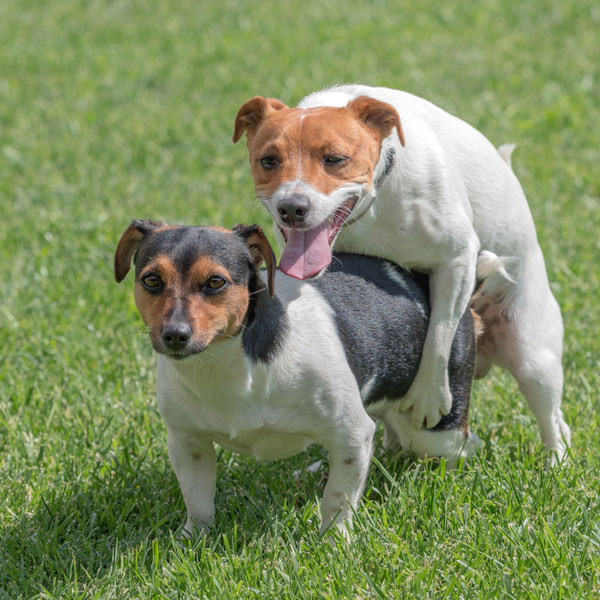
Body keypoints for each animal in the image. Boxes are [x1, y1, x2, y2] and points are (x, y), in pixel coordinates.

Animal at [234, 83, 572, 464]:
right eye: (268, 161)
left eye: (335, 159)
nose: (292, 208)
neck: (376, 203)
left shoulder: (456, 259)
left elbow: (440, 332)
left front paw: (429, 396)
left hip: (532, 357)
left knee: (552, 418)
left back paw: (555, 460)